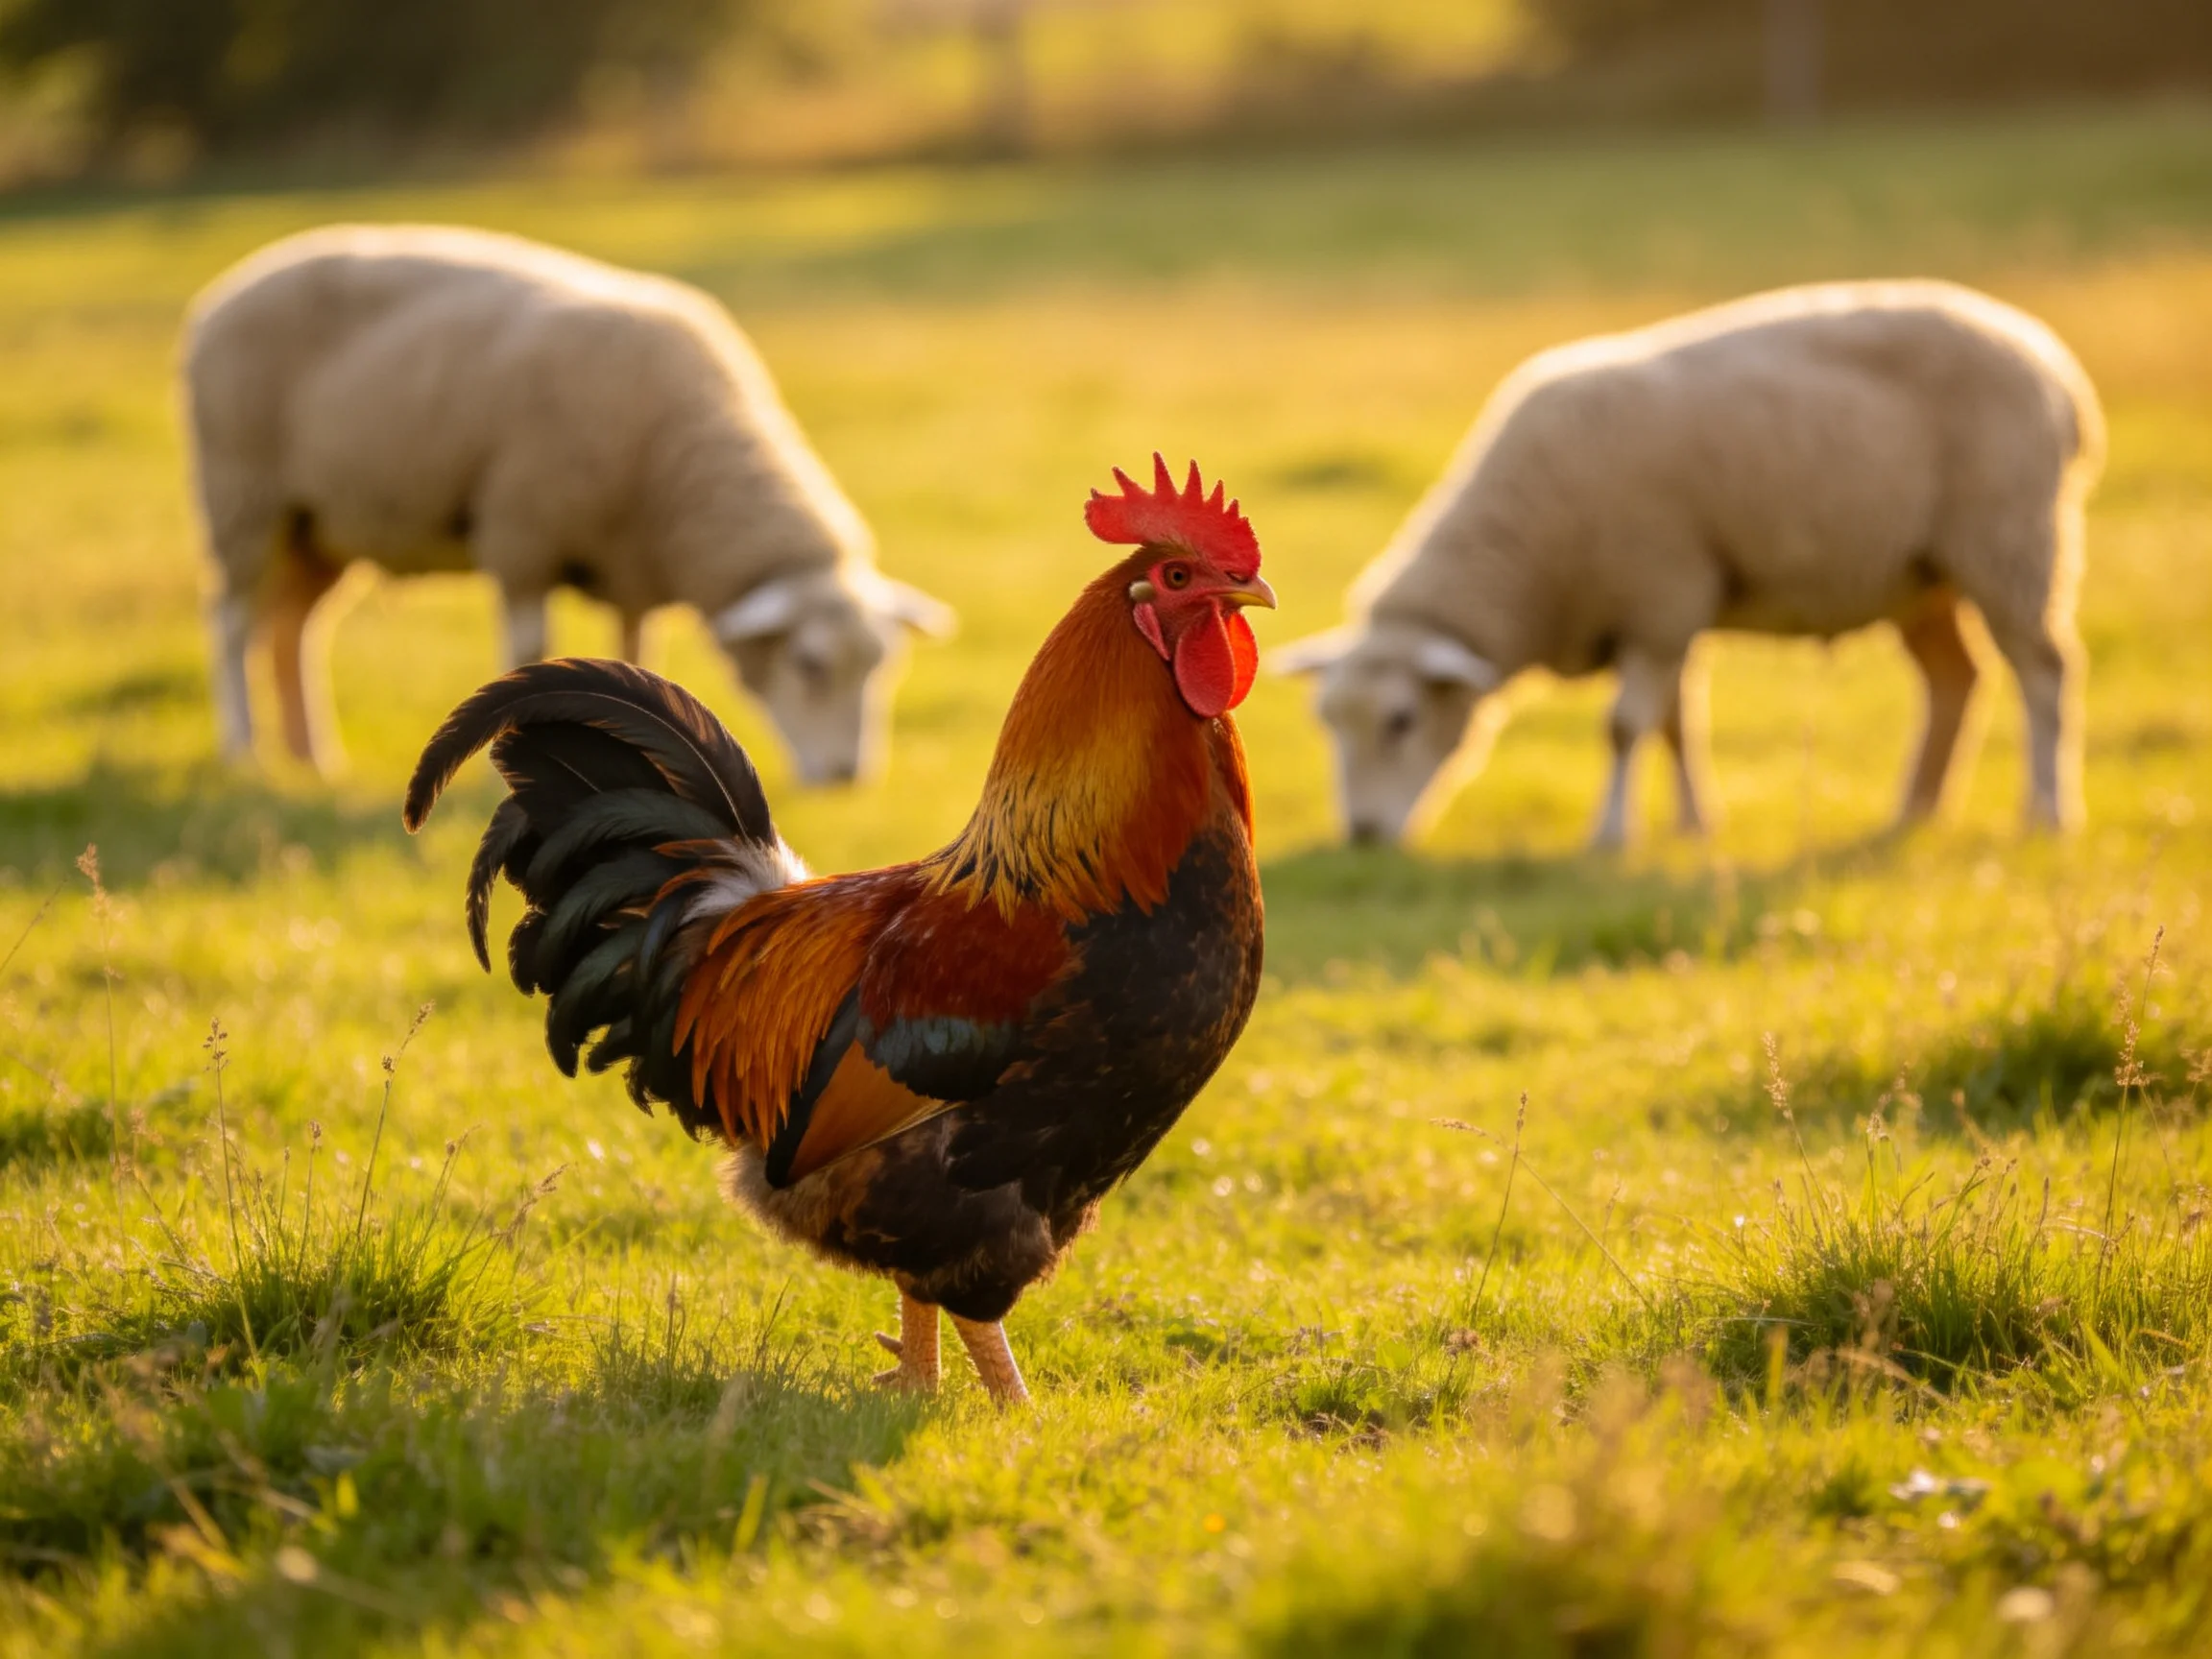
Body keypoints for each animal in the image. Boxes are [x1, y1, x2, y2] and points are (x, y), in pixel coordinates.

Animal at [182, 224, 953, 784]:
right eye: (810, 664)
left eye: (883, 665)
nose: (849, 776)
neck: (679, 464)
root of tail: (223, 292)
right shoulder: (522, 534)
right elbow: (530, 649)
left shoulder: (632, 569)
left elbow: (639, 657)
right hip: (242, 496)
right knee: (231, 623)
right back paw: (243, 749)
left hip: (320, 526)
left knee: (291, 630)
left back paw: (311, 757)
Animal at [1274, 280, 2104, 848]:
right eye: (1326, 721)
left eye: (1402, 719)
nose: (1363, 837)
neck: (1527, 557)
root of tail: (2057, 372)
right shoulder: (1665, 613)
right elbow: (1675, 725)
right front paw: (1692, 824)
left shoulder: (1661, 597)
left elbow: (1625, 726)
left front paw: (1611, 836)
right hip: (1920, 577)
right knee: (1955, 680)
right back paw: (1916, 809)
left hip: (2011, 538)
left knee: (2045, 672)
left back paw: (2049, 812)